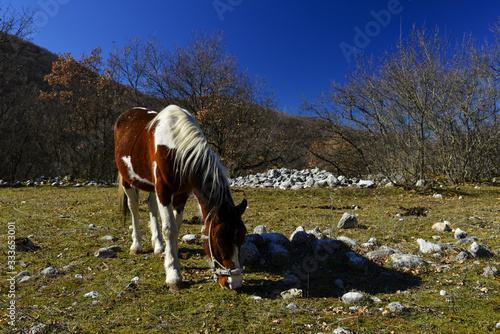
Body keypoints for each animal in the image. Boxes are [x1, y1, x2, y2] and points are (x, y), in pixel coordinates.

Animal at [113, 104, 246, 290]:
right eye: (219, 241)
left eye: (241, 239)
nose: (235, 282)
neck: (175, 147)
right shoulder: (163, 190)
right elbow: (170, 229)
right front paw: (173, 274)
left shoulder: (181, 193)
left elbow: (177, 224)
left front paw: (171, 254)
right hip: (127, 180)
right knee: (134, 207)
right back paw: (136, 245)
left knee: (151, 206)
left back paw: (158, 246)